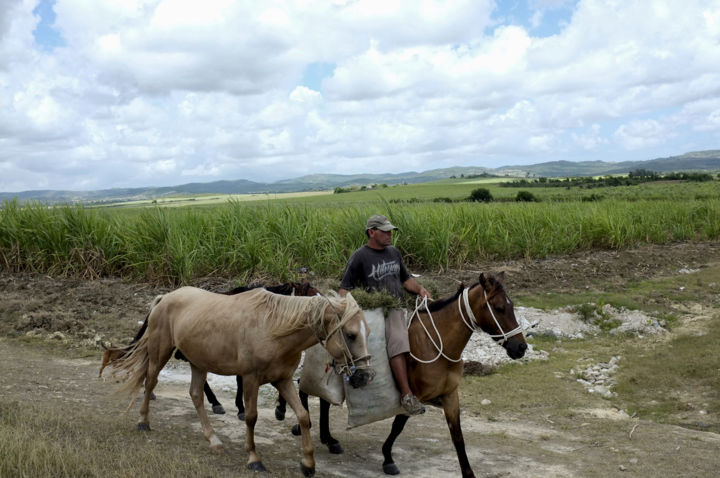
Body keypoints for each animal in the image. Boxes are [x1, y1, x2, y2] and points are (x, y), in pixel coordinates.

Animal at [107, 286, 376, 476]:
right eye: (351, 335)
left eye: (367, 333)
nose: (364, 377)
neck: (273, 327)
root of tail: (165, 298)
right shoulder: (250, 379)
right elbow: (251, 417)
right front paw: (254, 458)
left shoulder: (283, 380)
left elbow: (303, 416)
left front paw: (308, 463)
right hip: (160, 352)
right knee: (150, 382)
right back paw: (143, 421)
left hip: (198, 362)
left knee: (196, 395)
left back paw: (214, 440)